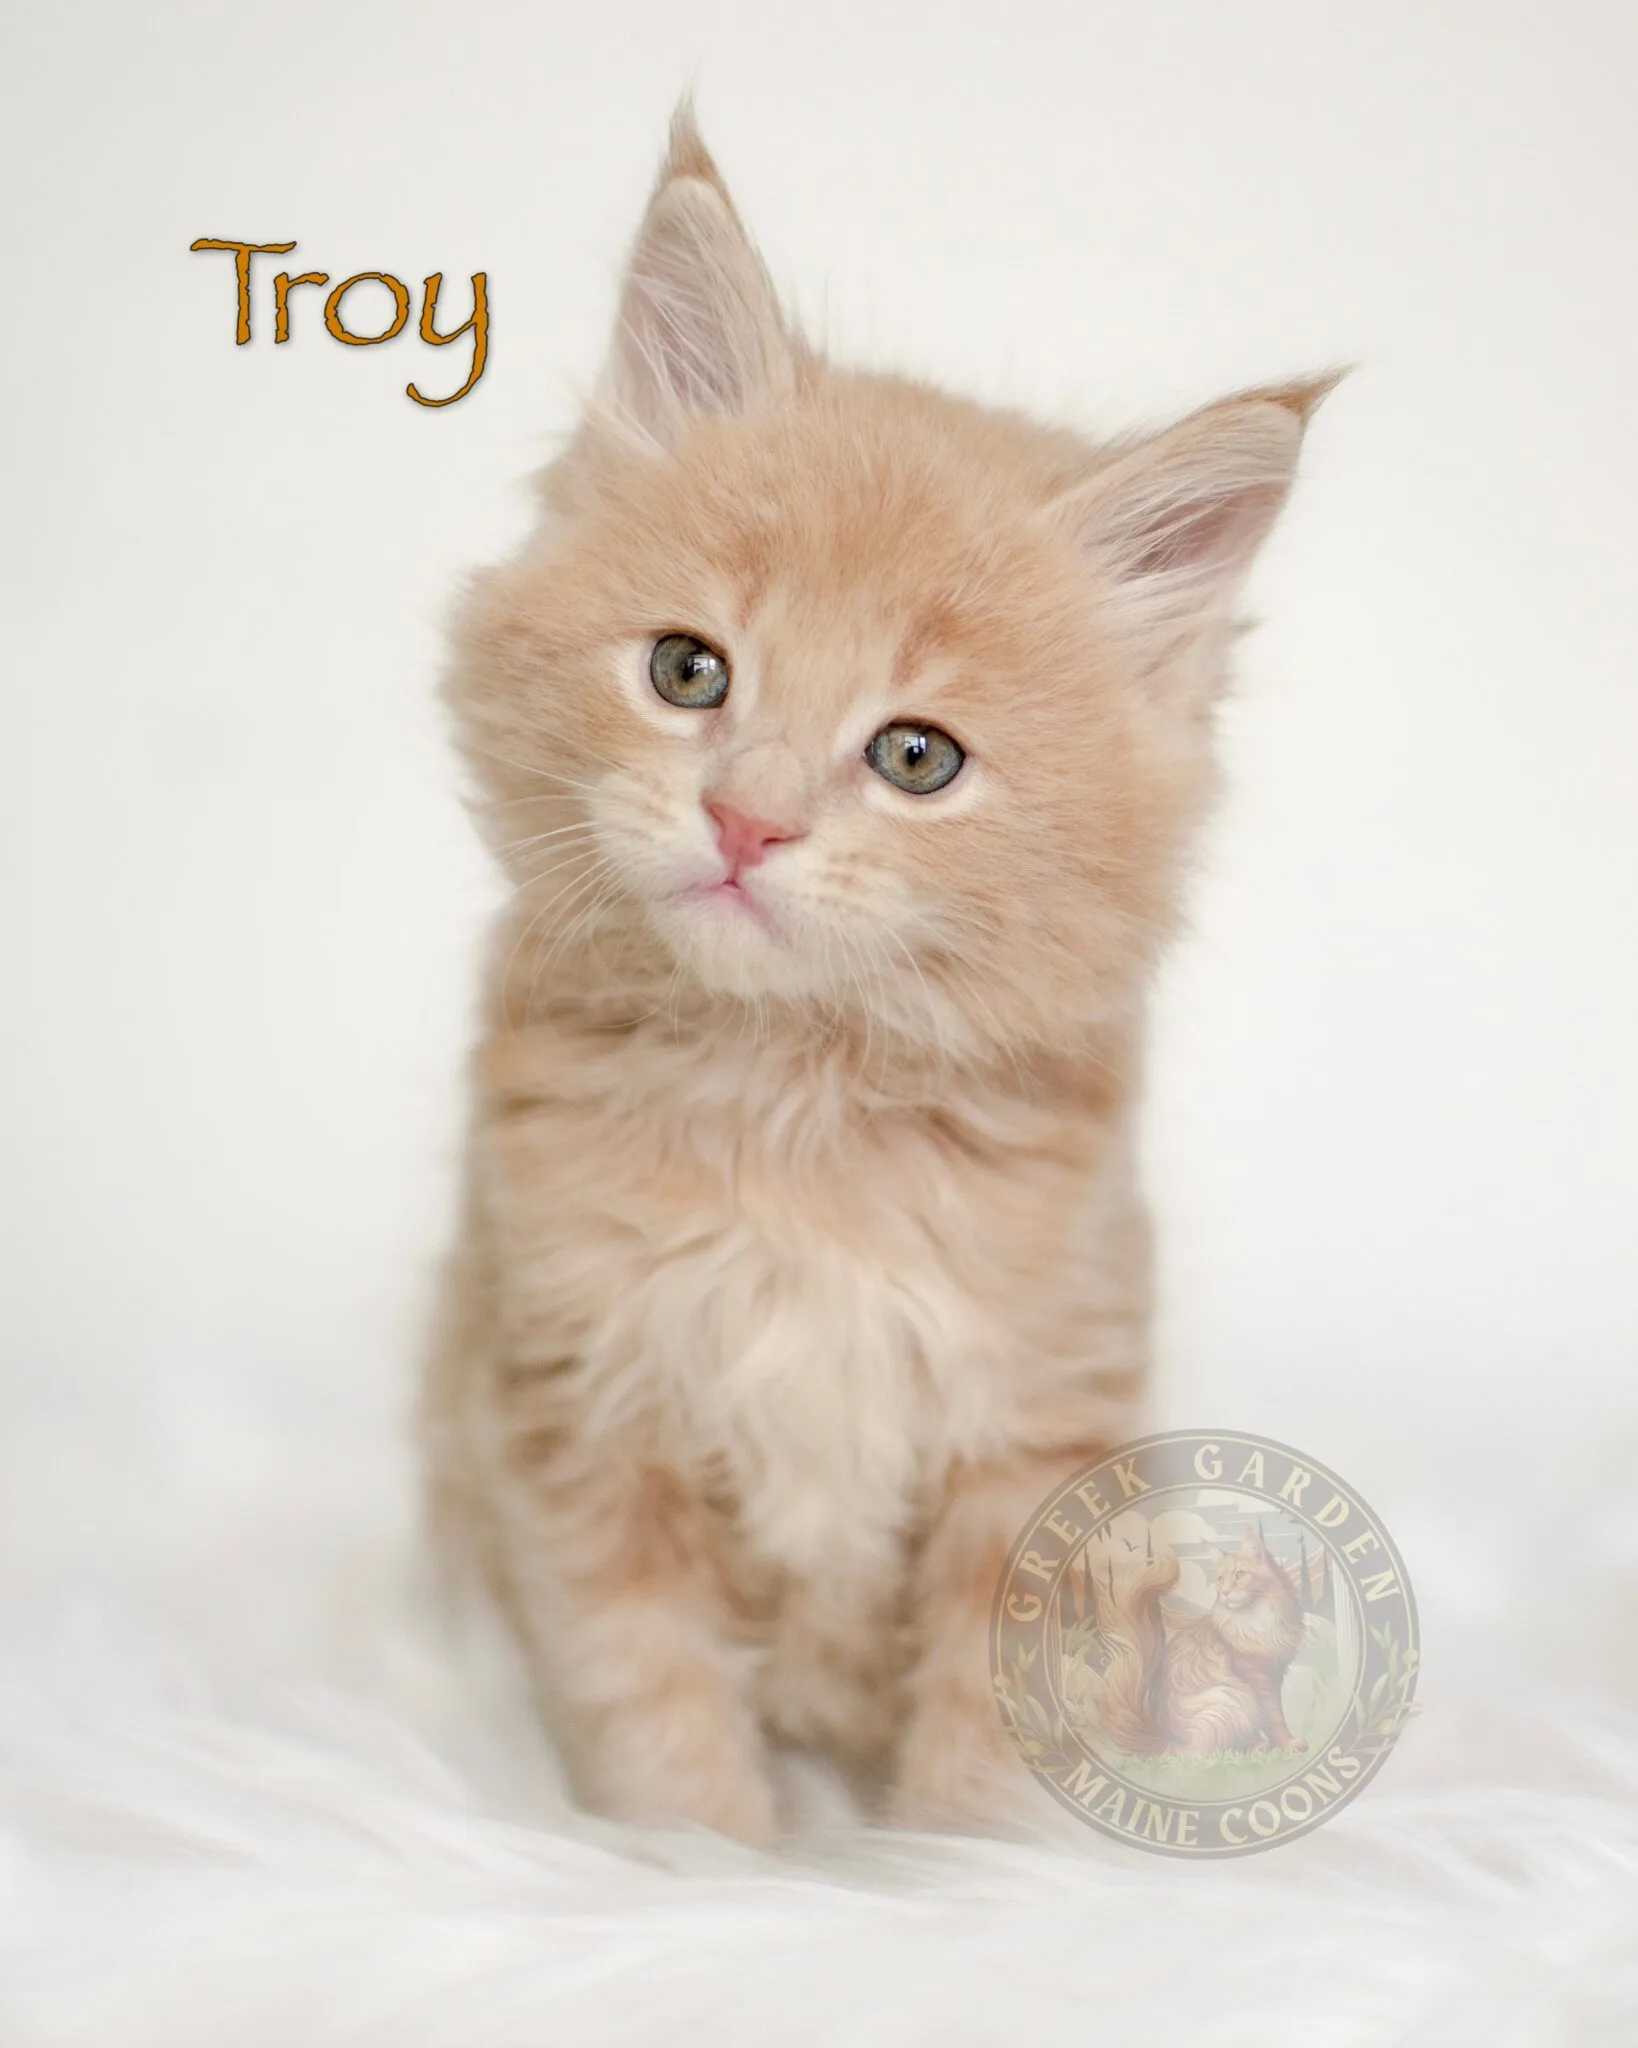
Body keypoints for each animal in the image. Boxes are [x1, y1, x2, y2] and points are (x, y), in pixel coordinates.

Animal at [421, 103, 1326, 1851]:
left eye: (916, 758)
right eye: (687, 672)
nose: (746, 819)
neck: (794, 1110)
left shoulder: (1033, 1432)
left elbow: (999, 1719)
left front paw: (963, 1883)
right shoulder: (575, 1410)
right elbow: (645, 1695)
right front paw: (691, 1869)